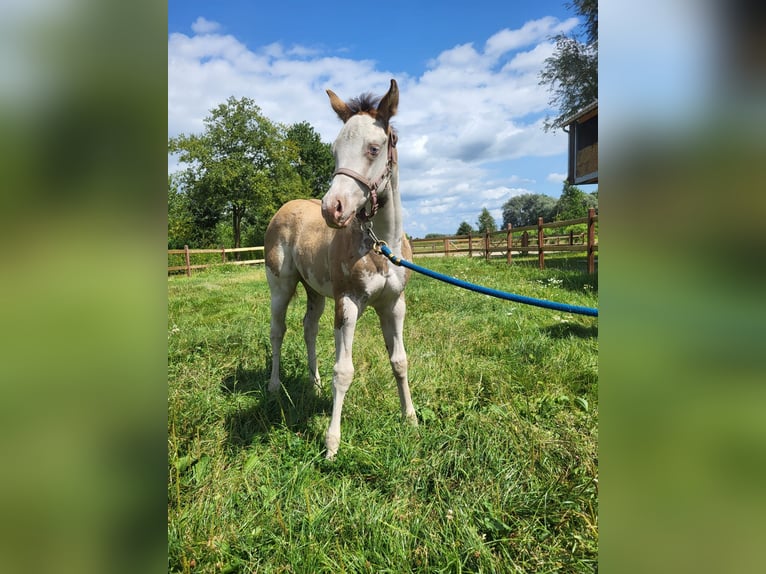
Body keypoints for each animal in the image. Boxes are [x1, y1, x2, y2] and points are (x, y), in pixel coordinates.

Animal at [266, 80, 420, 460]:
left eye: (374, 148)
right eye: (334, 150)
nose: (331, 209)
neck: (381, 246)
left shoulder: (394, 304)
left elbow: (400, 360)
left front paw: (410, 418)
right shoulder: (347, 302)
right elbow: (344, 370)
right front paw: (332, 444)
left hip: (314, 290)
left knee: (308, 328)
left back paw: (314, 382)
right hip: (281, 286)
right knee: (278, 331)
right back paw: (274, 385)